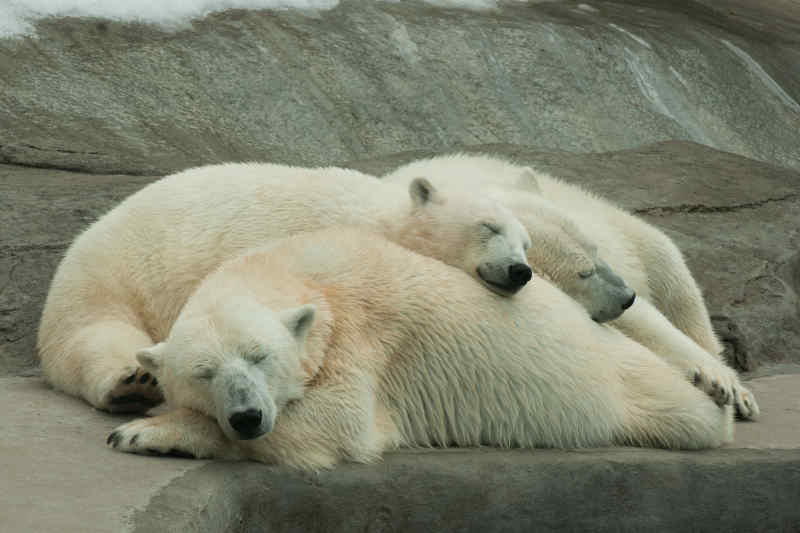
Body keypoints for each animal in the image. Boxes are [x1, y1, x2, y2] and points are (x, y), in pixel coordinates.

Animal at [37, 162, 532, 412]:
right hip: (107, 283)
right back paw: (132, 382)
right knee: (96, 336)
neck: (378, 220)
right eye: (488, 227)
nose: (520, 271)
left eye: (526, 241)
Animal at [108, 227, 736, 468]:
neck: (296, 267)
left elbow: (336, 423)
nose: (246, 415)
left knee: (683, 412)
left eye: (261, 356)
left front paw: (144, 431)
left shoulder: (362, 335)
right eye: (204, 372)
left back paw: (712, 389)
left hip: (618, 374)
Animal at [384, 152, 760, 418]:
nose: (627, 296)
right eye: (583, 273)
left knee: (671, 273)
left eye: (596, 251)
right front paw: (714, 381)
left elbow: (649, 319)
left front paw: (723, 383)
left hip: (605, 214)